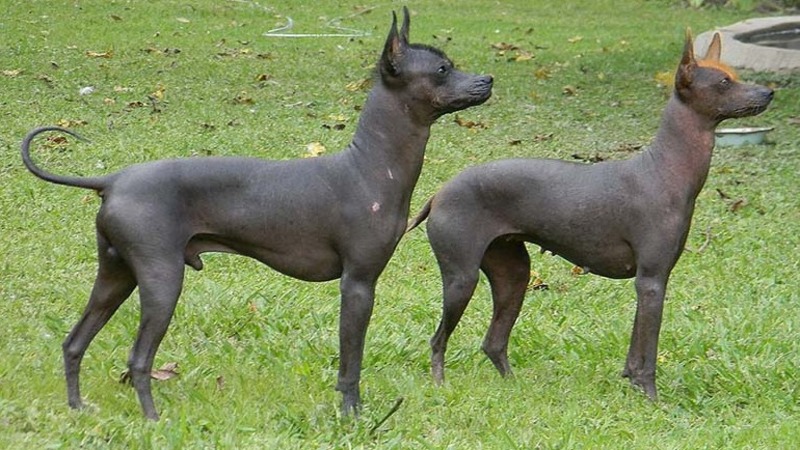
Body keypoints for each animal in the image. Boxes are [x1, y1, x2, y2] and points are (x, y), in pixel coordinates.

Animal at [410, 29, 772, 400]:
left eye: (734, 75)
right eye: (724, 82)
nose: (768, 92)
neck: (664, 168)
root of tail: (439, 193)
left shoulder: (651, 282)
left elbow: (634, 351)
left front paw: (631, 382)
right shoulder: (651, 281)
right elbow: (648, 353)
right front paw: (651, 398)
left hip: (514, 275)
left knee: (493, 343)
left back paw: (515, 387)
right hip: (462, 279)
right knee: (438, 340)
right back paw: (440, 385)